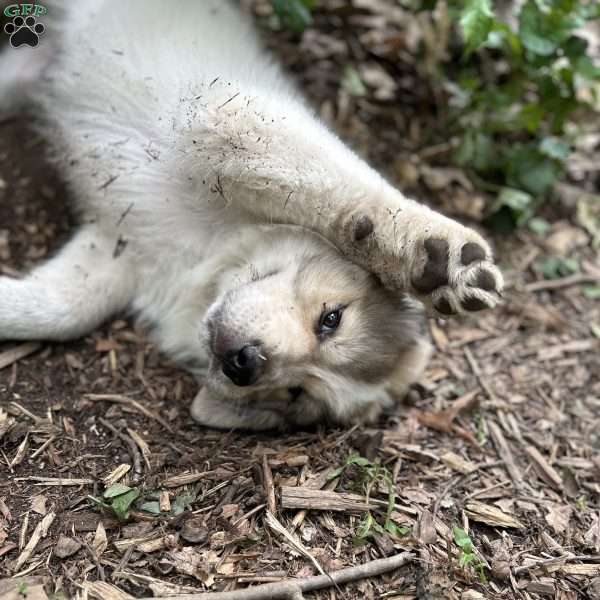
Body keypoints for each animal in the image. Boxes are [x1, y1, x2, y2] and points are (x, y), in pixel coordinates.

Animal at [0, 1, 502, 432]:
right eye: (332, 319)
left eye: (297, 393)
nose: (244, 364)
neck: (207, 255)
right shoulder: (227, 121)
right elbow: (343, 195)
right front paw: (436, 259)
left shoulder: (119, 246)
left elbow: (60, 310)